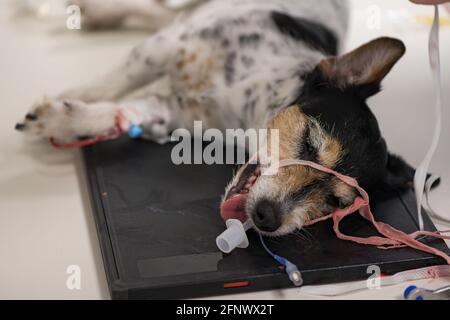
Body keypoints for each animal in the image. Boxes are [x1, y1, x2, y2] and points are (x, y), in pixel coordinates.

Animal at [14, 0, 414, 238]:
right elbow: (114, 82)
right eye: (310, 143)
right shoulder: (162, 49)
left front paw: (64, 120)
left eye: (335, 203)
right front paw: (74, 93)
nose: (268, 217)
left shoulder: (171, 110)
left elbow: (117, 113)